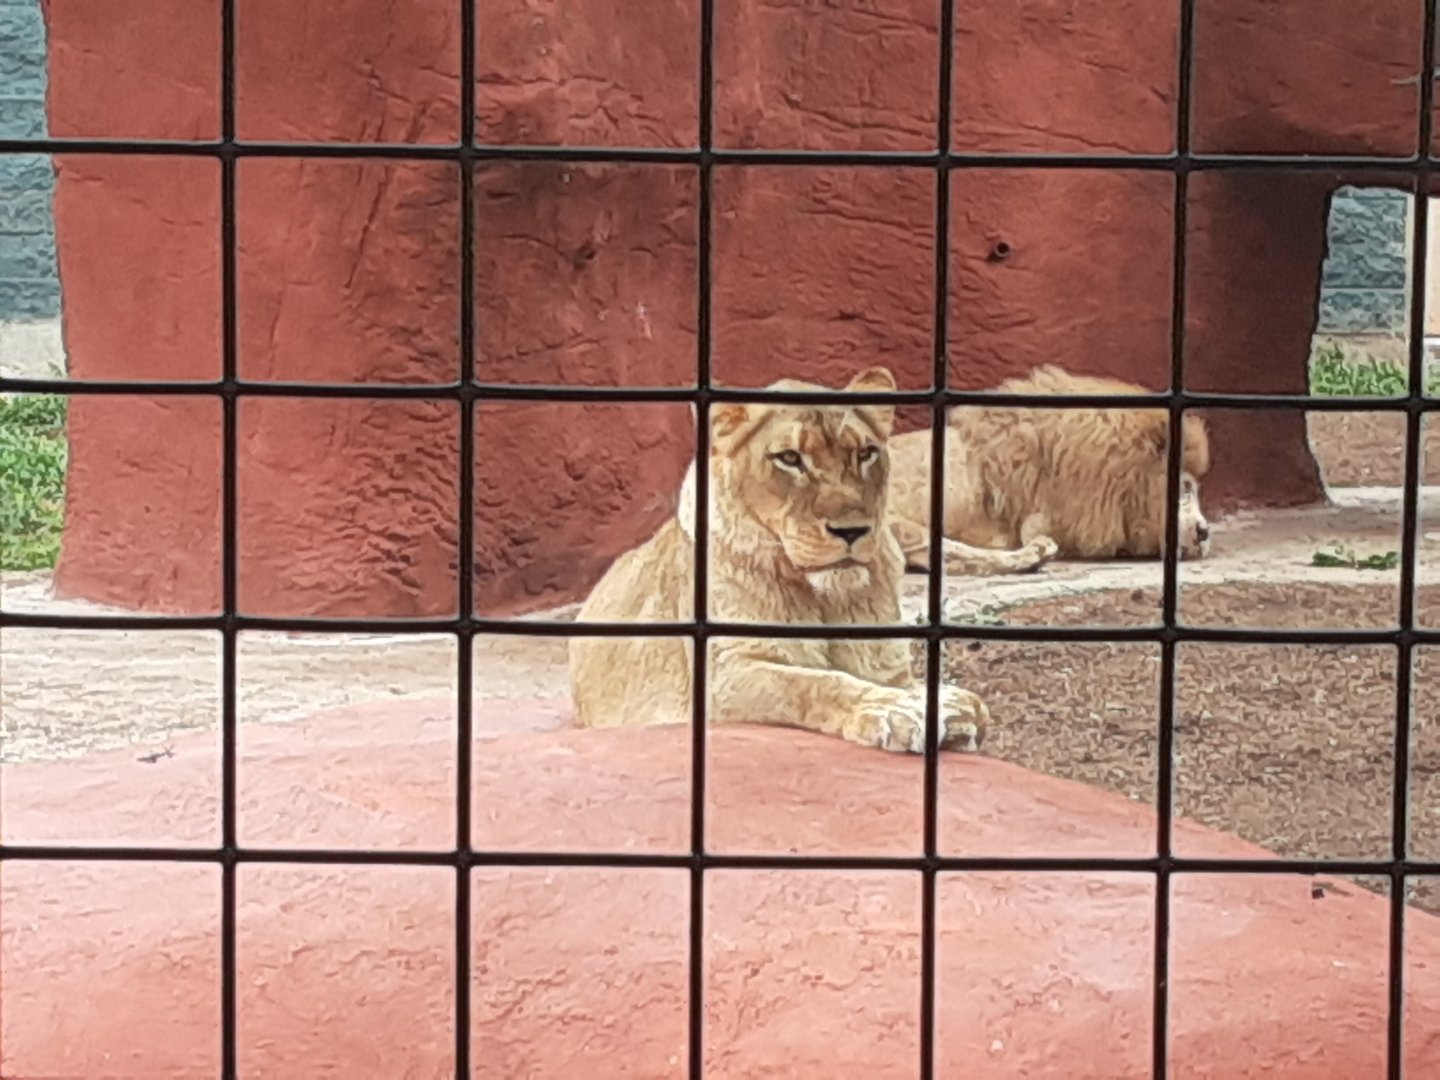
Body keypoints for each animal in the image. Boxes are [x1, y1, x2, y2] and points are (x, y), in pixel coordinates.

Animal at [568, 366, 994, 755]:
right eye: (790, 458)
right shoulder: (724, 673)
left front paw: (953, 706)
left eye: (865, 453)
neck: (829, 602)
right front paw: (896, 711)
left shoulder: (891, 669)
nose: (852, 531)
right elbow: (812, 683)